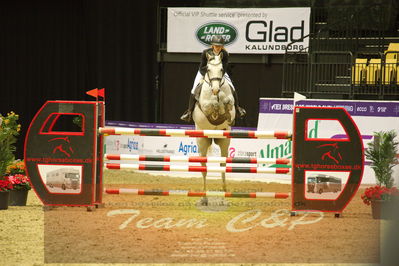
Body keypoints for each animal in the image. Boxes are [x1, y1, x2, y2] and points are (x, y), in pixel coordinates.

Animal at [192, 53, 236, 204]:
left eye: (222, 69)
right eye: (208, 69)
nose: (215, 89)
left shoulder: (231, 104)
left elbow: (228, 103)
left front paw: (223, 106)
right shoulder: (205, 106)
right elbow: (211, 105)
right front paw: (216, 105)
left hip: (224, 141)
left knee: (223, 166)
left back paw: (224, 197)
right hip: (202, 142)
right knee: (203, 168)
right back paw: (204, 199)